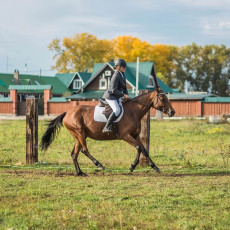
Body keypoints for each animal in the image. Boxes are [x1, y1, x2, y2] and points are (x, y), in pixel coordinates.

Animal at [40, 87, 175, 177]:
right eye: (162, 98)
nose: (172, 112)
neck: (134, 111)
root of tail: (67, 113)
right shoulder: (126, 136)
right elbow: (138, 148)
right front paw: (132, 166)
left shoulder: (135, 136)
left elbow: (144, 150)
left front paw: (155, 167)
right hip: (80, 134)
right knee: (84, 150)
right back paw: (99, 165)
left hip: (77, 136)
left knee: (74, 154)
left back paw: (80, 172)